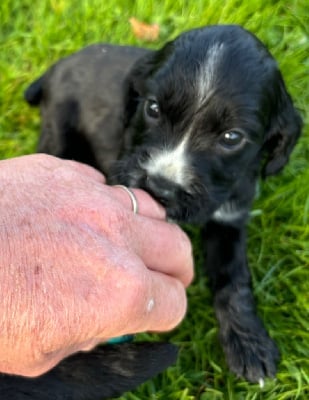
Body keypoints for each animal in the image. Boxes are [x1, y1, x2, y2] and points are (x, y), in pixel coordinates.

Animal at [17, 25, 300, 396]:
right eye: (152, 108)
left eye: (231, 137)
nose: (160, 187)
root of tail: (58, 66)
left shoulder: (230, 215)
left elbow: (233, 278)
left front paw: (249, 344)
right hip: (58, 127)